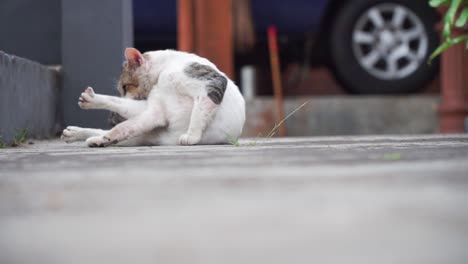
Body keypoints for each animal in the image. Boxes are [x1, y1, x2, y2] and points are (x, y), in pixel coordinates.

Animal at [61, 48, 245, 147]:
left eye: (125, 87)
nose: (124, 94)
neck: (164, 70)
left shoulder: (211, 84)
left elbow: (198, 114)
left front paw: (191, 136)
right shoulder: (156, 111)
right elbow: (122, 123)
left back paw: (95, 138)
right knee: (116, 123)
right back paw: (82, 133)